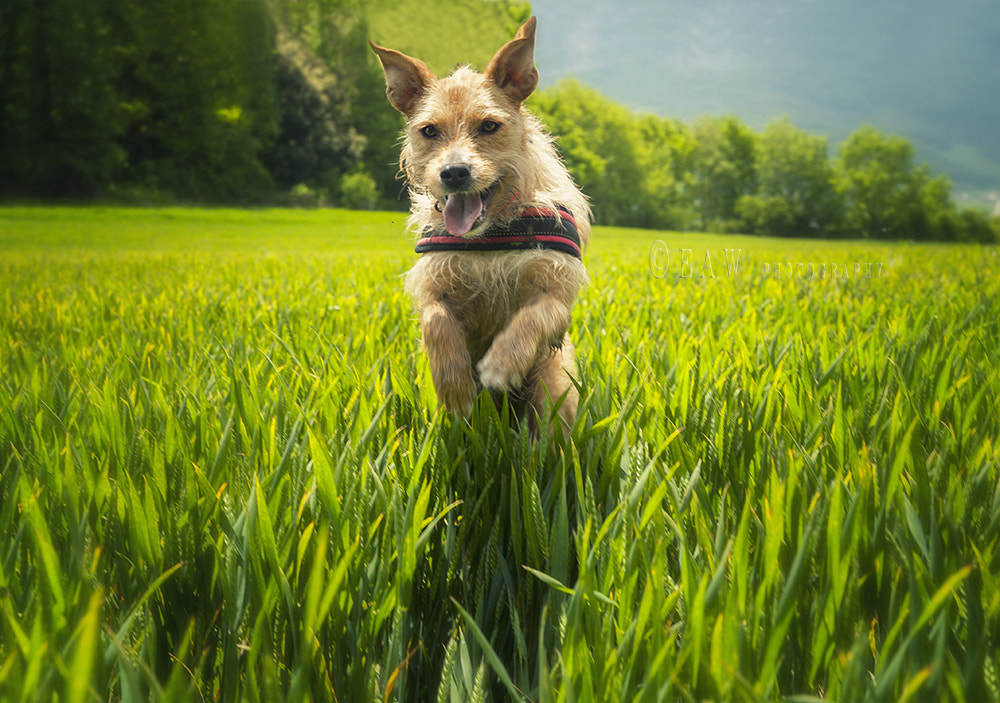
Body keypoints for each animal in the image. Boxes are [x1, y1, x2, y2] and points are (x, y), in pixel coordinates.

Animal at [372, 16, 588, 432]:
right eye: (429, 130)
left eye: (489, 126)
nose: (454, 173)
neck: (490, 234)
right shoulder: (431, 283)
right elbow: (436, 321)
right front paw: (455, 388)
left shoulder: (557, 287)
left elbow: (535, 316)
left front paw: (502, 364)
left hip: (554, 388)